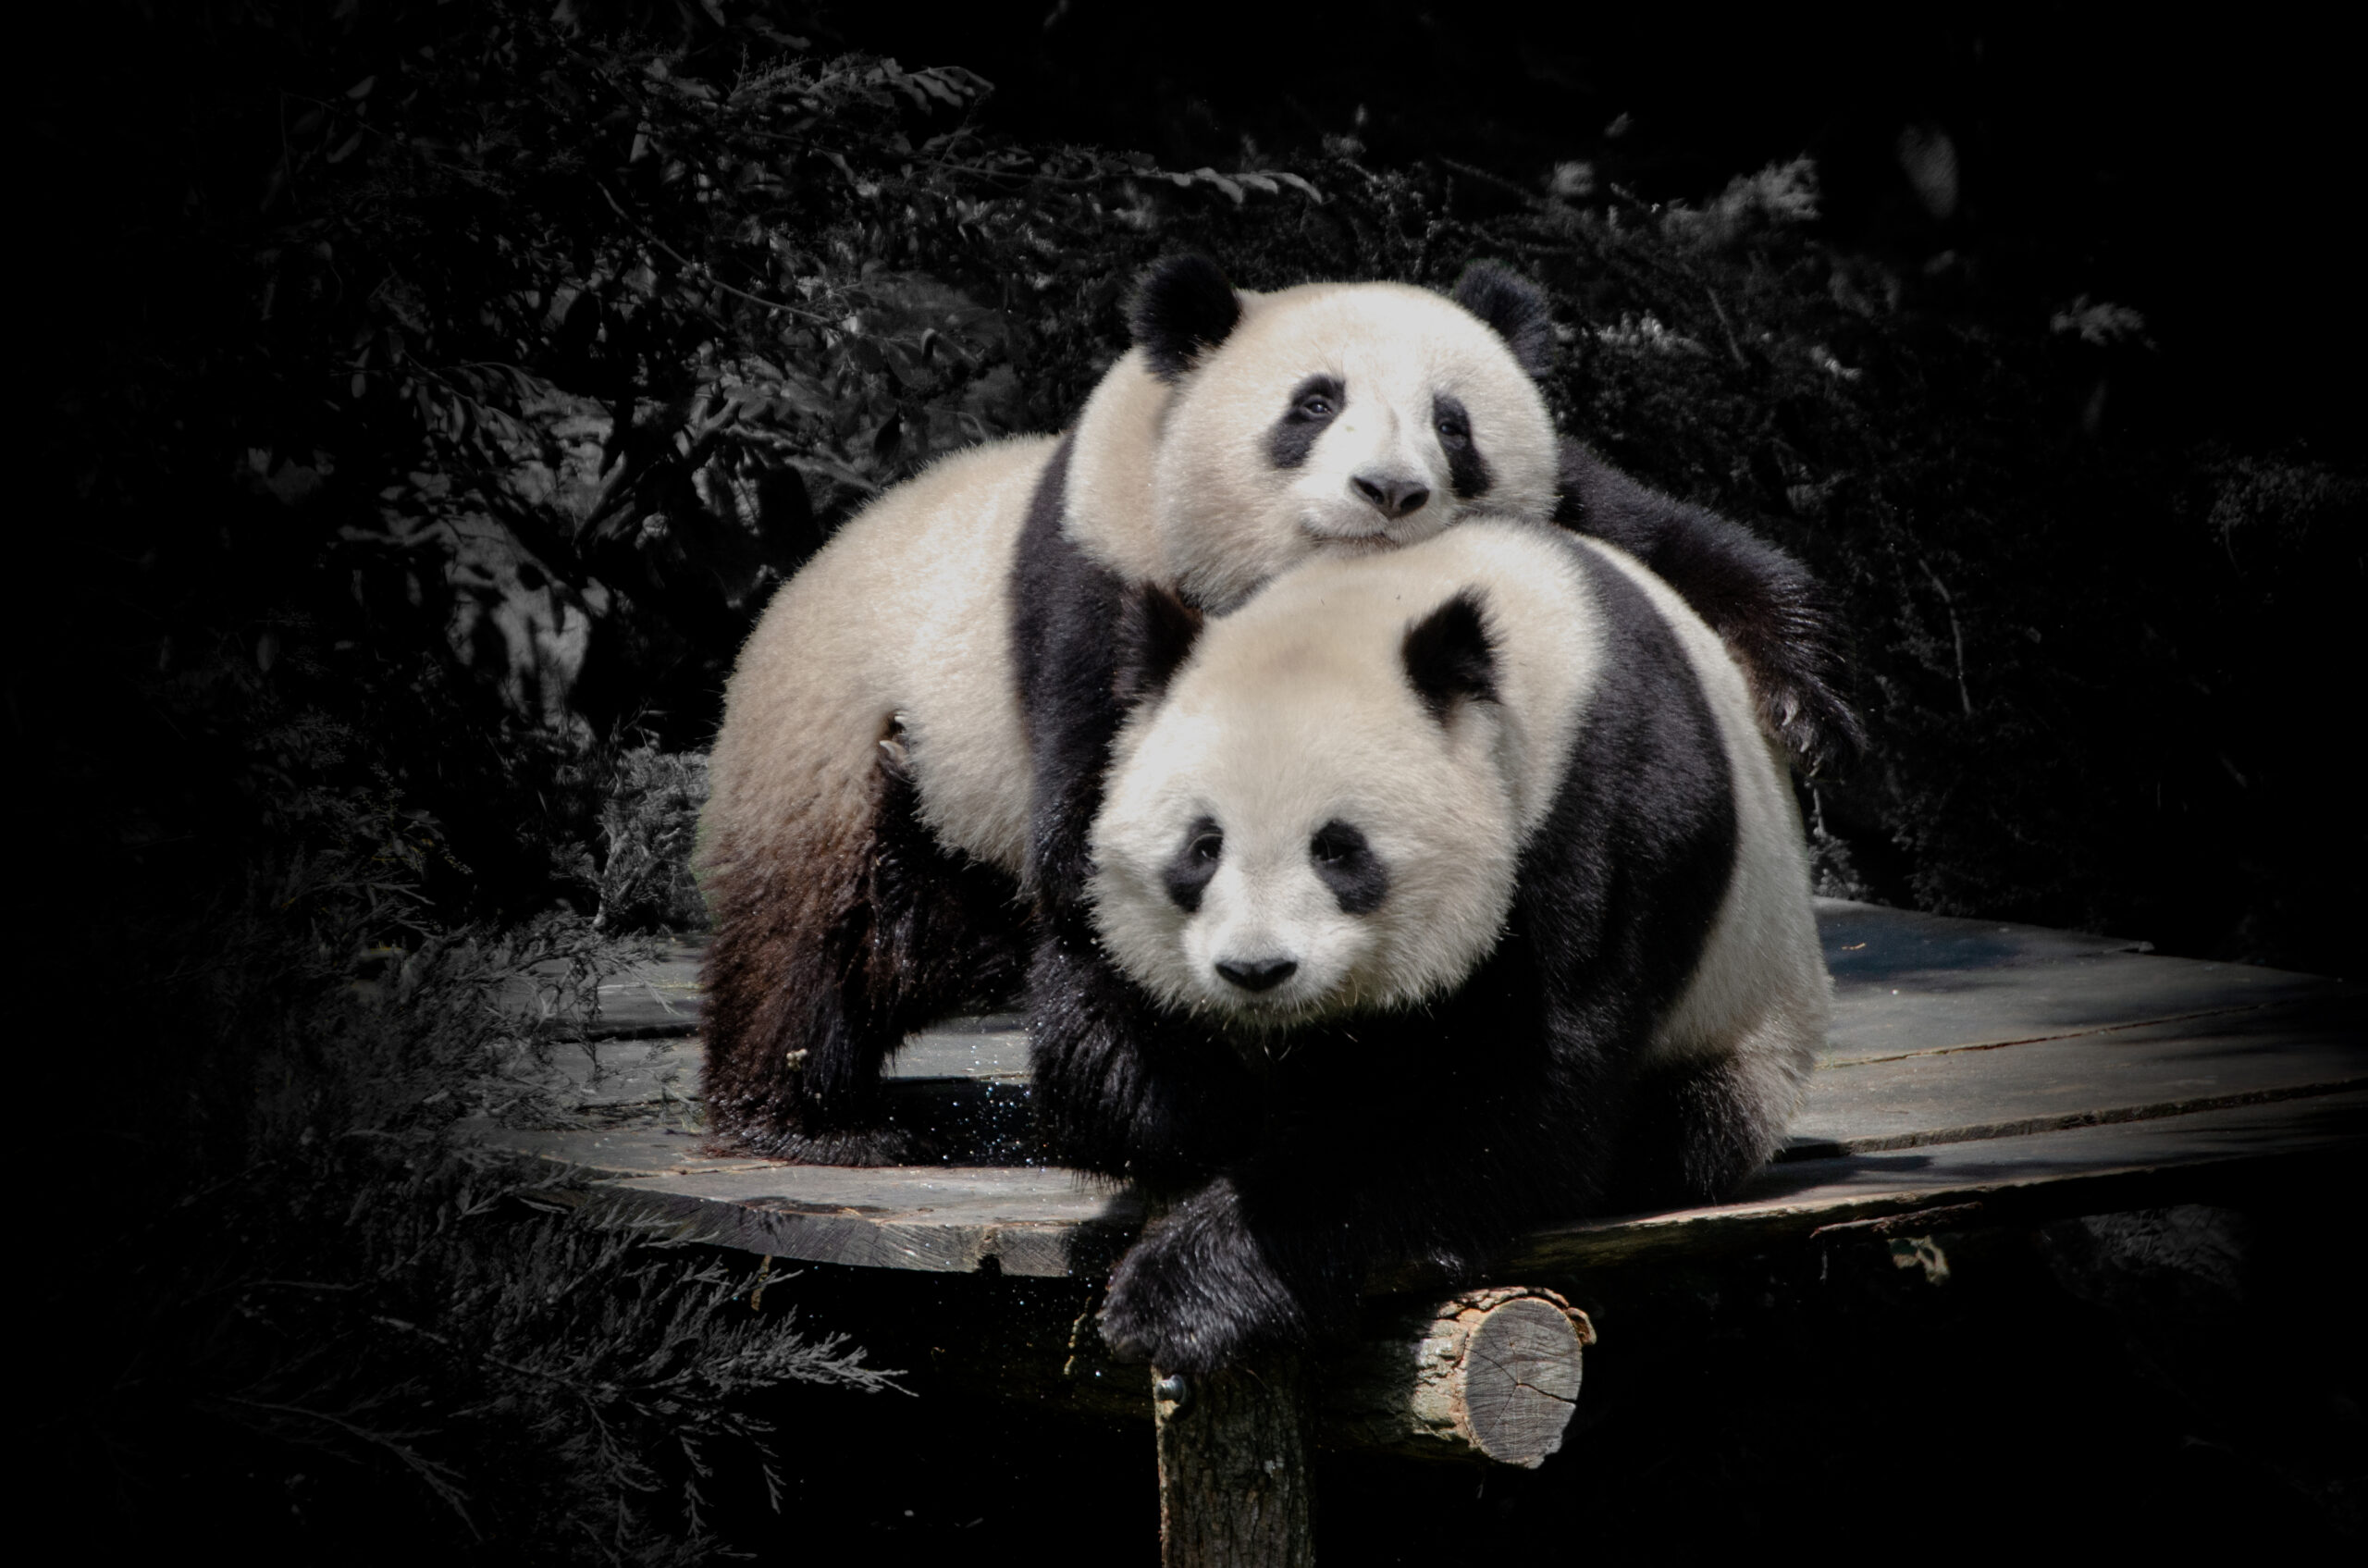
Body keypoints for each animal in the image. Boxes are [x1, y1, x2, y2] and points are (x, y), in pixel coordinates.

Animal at [696, 258, 1846, 1165]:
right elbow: (1102, 835)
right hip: (849, 747)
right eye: (1312, 405)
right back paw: (812, 1123)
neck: (1327, 609)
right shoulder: (1097, 583)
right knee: (812, 943)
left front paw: (1798, 708)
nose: (1390, 493)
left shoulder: (1564, 515)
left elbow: (1672, 545)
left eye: (1453, 422)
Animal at [1037, 518, 1828, 1374]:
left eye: (1337, 849)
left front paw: (1179, 1296)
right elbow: (1094, 1040)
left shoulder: (1606, 817)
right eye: (1203, 846)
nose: (1257, 970)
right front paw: (1188, 1097)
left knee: (1680, 1125)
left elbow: (1505, 1113)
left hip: (1747, 1030)